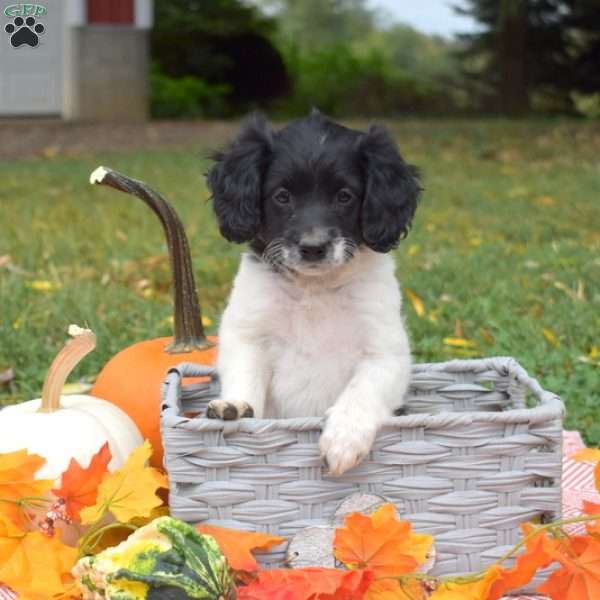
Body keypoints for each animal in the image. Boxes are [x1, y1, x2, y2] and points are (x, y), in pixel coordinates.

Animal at [206, 108, 422, 474]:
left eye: (344, 196)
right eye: (282, 196)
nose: (312, 247)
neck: (314, 289)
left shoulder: (386, 352)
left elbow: (362, 390)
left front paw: (344, 438)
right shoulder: (247, 335)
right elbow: (244, 377)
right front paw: (234, 407)